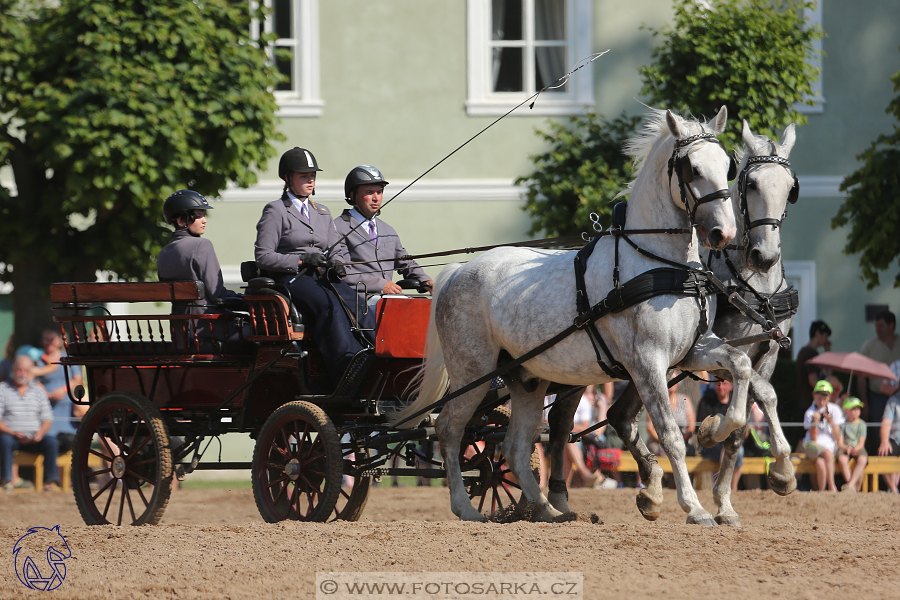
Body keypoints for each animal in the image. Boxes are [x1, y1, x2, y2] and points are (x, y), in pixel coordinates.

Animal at [394, 108, 752, 524]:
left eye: (727, 165)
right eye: (691, 168)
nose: (723, 232)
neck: (660, 263)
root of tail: (456, 272)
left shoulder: (691, 350)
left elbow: (741, 366)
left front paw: (713, 430)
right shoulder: (647, 362)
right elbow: (670, 435)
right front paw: (693, 507)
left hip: (526, 380)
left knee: (516, 446)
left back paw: (546, 508)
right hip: (473, 371)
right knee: (450, 429)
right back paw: (466, 507)